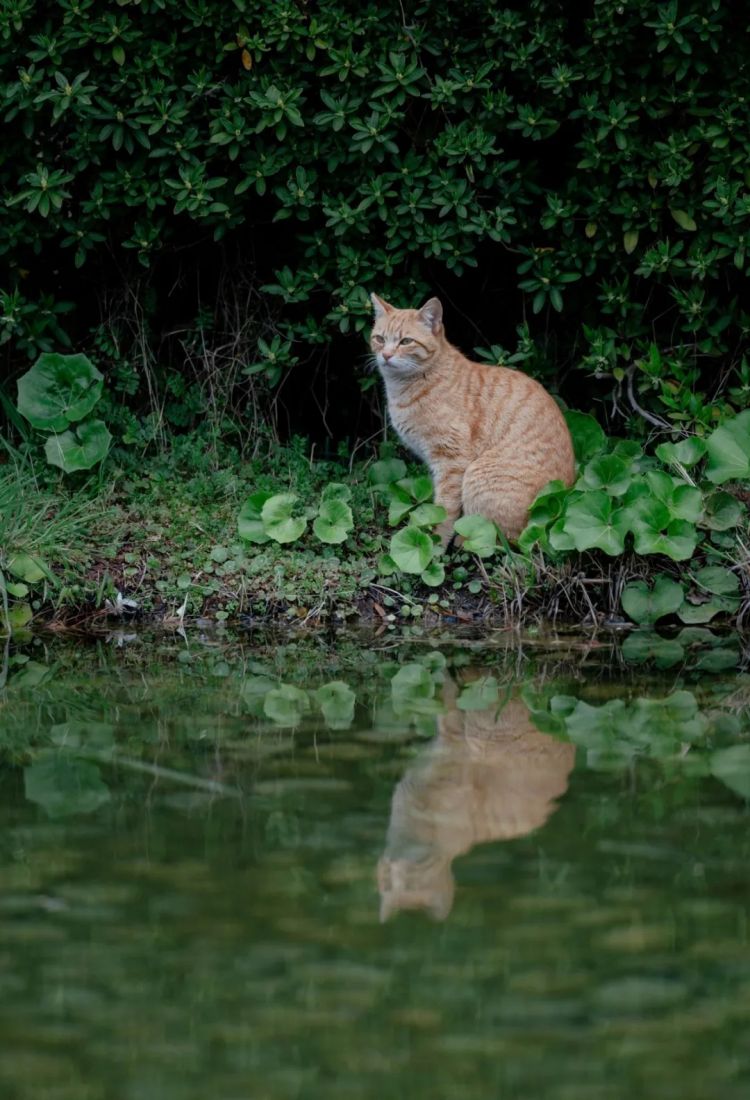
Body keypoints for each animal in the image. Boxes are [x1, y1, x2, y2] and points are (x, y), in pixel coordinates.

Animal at [367, 294, 571, 547]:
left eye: (405, 341)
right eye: (379, 338)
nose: (386, 355)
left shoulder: (451, 460)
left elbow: (445, 509)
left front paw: (437, 543)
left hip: (478, 477)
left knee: (499, 538)